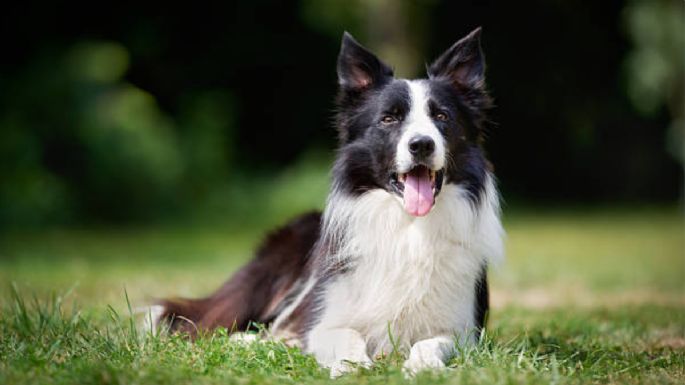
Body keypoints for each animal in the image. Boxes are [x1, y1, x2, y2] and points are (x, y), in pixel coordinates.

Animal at [152, 27, 504, 376]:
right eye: (388, 119)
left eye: (442, 116)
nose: (421, 144)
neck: (408, 227)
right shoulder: (325, 318)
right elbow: (343, 335)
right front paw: (353, 366)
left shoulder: (464, 330)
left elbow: (431, 342)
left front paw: (423, 366)